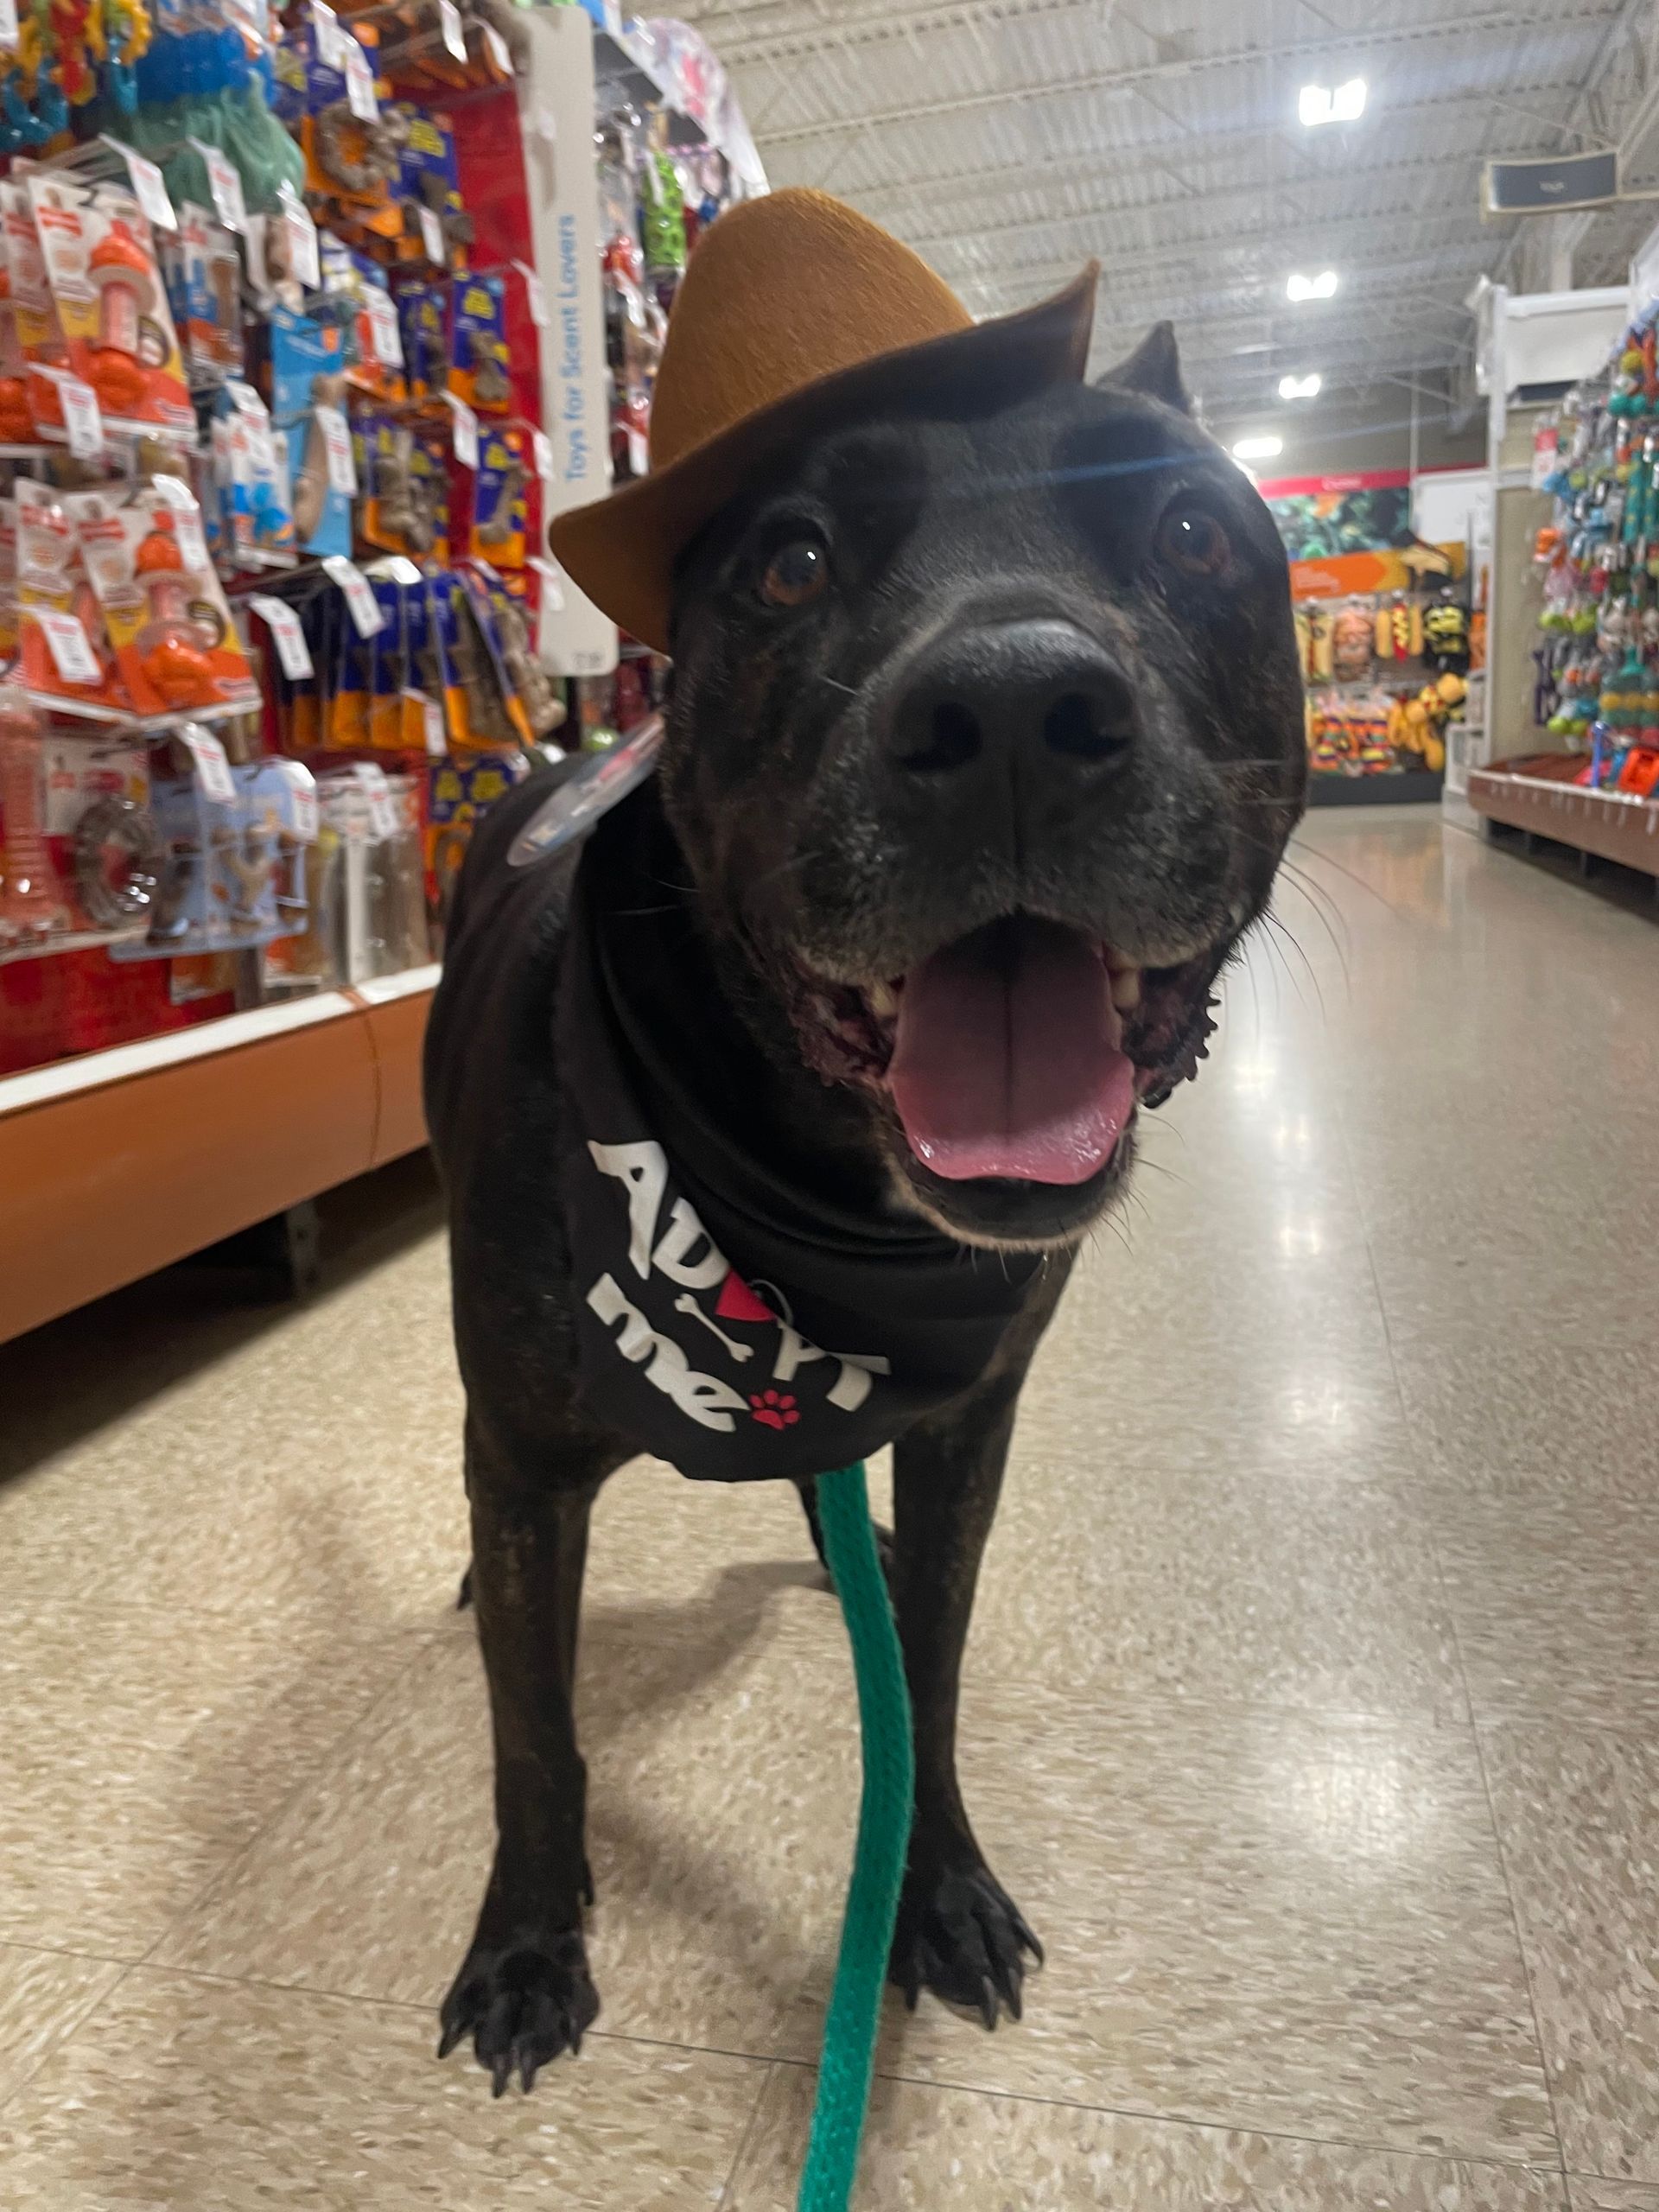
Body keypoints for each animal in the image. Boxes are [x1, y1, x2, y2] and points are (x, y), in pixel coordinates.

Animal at [422, 322, 1309, 2088]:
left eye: (1192, 532)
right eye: (791, 561)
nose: (1018, 708)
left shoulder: (968, 1423)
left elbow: (936, 1675)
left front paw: (936, 1884)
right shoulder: (536, 1450)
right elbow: (532, 1730)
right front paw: (530, 1940)